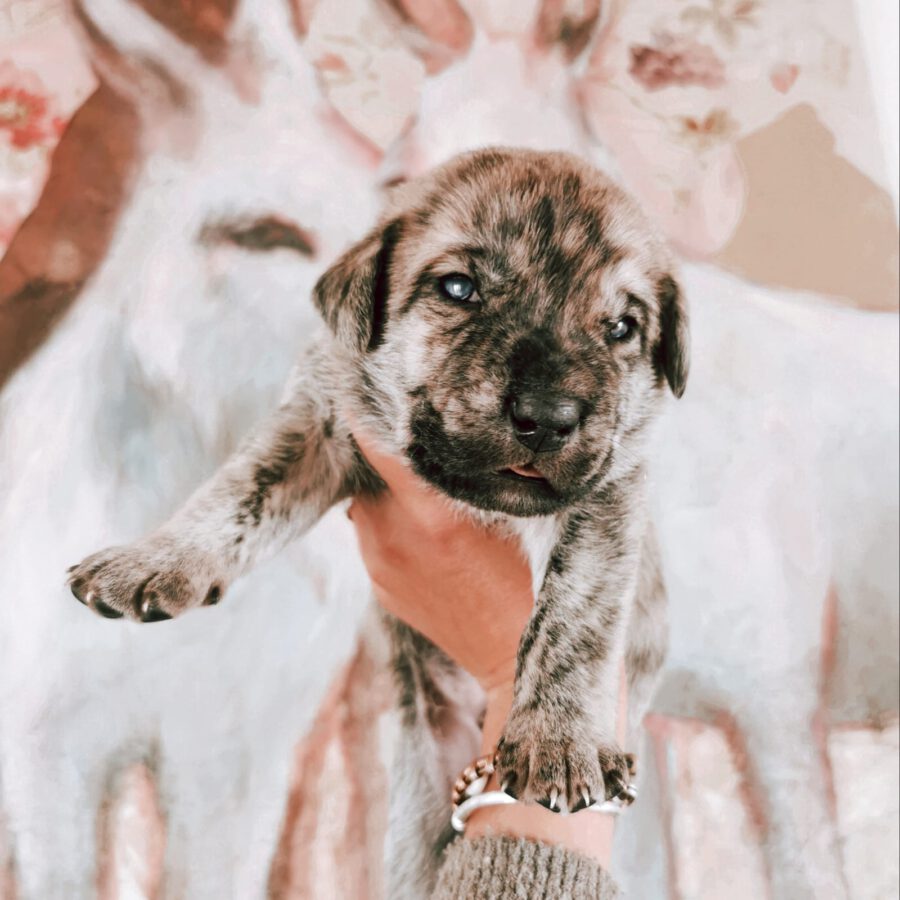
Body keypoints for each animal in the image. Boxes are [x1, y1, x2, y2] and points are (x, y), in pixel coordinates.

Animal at [67, 146, 687, 849]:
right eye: (457, 289)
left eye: (622, 327)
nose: (549, 417)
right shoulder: (316, 425)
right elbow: (236, 492)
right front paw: (158, 557)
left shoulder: (604, 497)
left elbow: (572, 617)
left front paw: (557, 736)